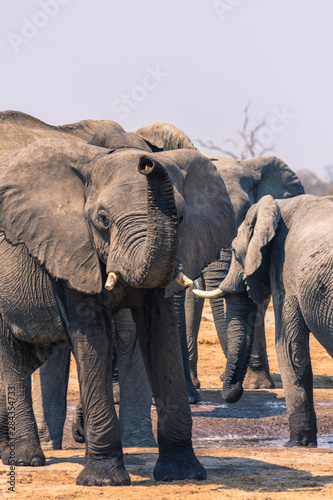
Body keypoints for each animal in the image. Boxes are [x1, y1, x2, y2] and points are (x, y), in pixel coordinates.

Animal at [0, 135, 236, 486]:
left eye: (180, 218)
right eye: (103, 220)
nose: (147, 162)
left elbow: (159, 335)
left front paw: (183, 474)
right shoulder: (71, 250)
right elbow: (94, 336)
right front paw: (103, 480)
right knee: (12, 360)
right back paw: (27, 460)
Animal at [195, 193, 332, 448]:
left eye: (235, 252)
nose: (237, 389)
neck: (279, 205)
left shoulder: (285, 270)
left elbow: (289, 349)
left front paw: (296, 445)